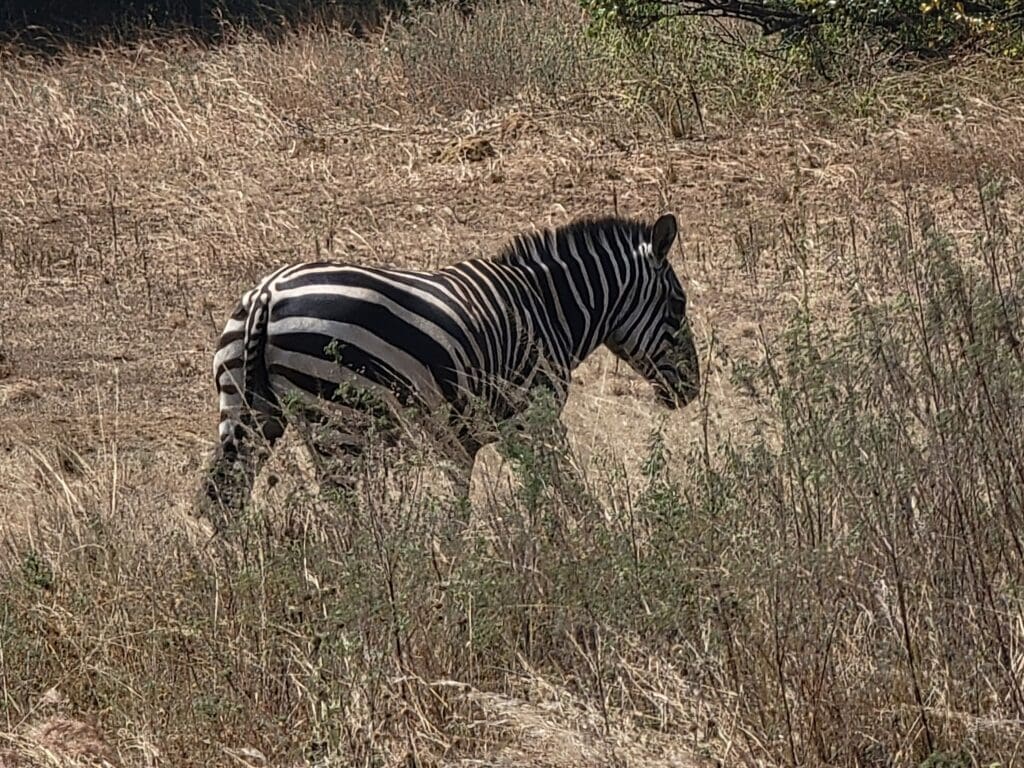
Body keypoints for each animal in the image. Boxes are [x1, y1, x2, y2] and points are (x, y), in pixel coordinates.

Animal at [196, 211, 700, 528]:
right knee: (344, 506)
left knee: (224, 498)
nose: (692, 391)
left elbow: (467, 506)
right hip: (340, 420)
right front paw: (600, 541)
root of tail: (268, 292)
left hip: (249, 410)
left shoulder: (463, 436)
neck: (545, 309)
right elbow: (564, 488)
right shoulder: (530, 418)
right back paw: (368, 564)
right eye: (678, 305)